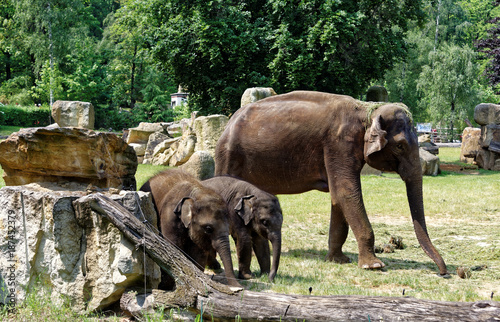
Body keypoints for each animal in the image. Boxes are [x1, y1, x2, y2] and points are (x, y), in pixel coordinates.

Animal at [215, 89, 450, 276]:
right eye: (400, 146)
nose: (443, 272)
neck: (366, 111)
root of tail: (228, 123)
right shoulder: (339, 143)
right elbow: (347, 192)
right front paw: (374, 266)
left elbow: (339, 197)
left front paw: (338, 260)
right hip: (230, 156)